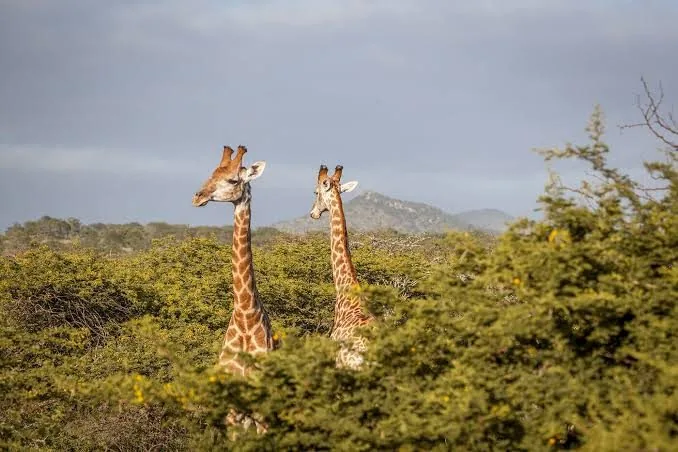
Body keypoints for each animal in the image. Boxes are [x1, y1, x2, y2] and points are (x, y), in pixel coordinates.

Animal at [192, 145, 276, 433]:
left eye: (231, 180)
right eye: (211, 173)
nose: (197, 197)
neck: (245, 318)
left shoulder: (262, 413)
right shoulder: (231, 413)